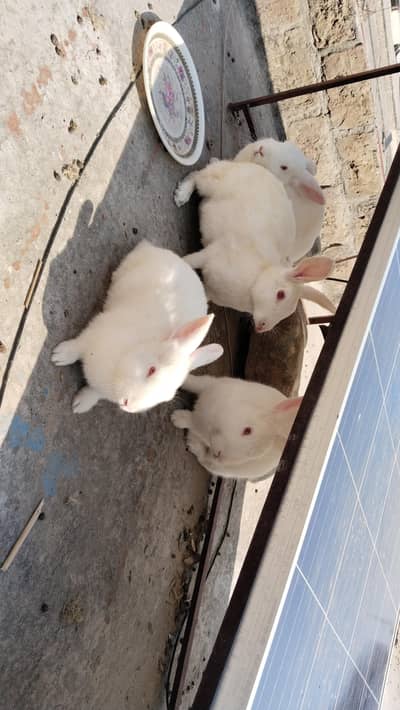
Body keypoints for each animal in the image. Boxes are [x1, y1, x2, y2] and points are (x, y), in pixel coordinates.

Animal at [51, 240, 223, 414]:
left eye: (167, 396)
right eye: (151, 370)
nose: (129, 405)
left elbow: (94, 392)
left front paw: (81, 405)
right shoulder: (97, 330)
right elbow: (78, 345)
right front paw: (59, 356)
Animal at [171, 374, 303, 480]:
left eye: (251, 455)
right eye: (247, 431)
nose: (218, 454)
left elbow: (192, 422)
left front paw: (177, 418)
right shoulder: (212, 384)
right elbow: (195, 382)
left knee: (204, 459)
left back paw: (192, 445)